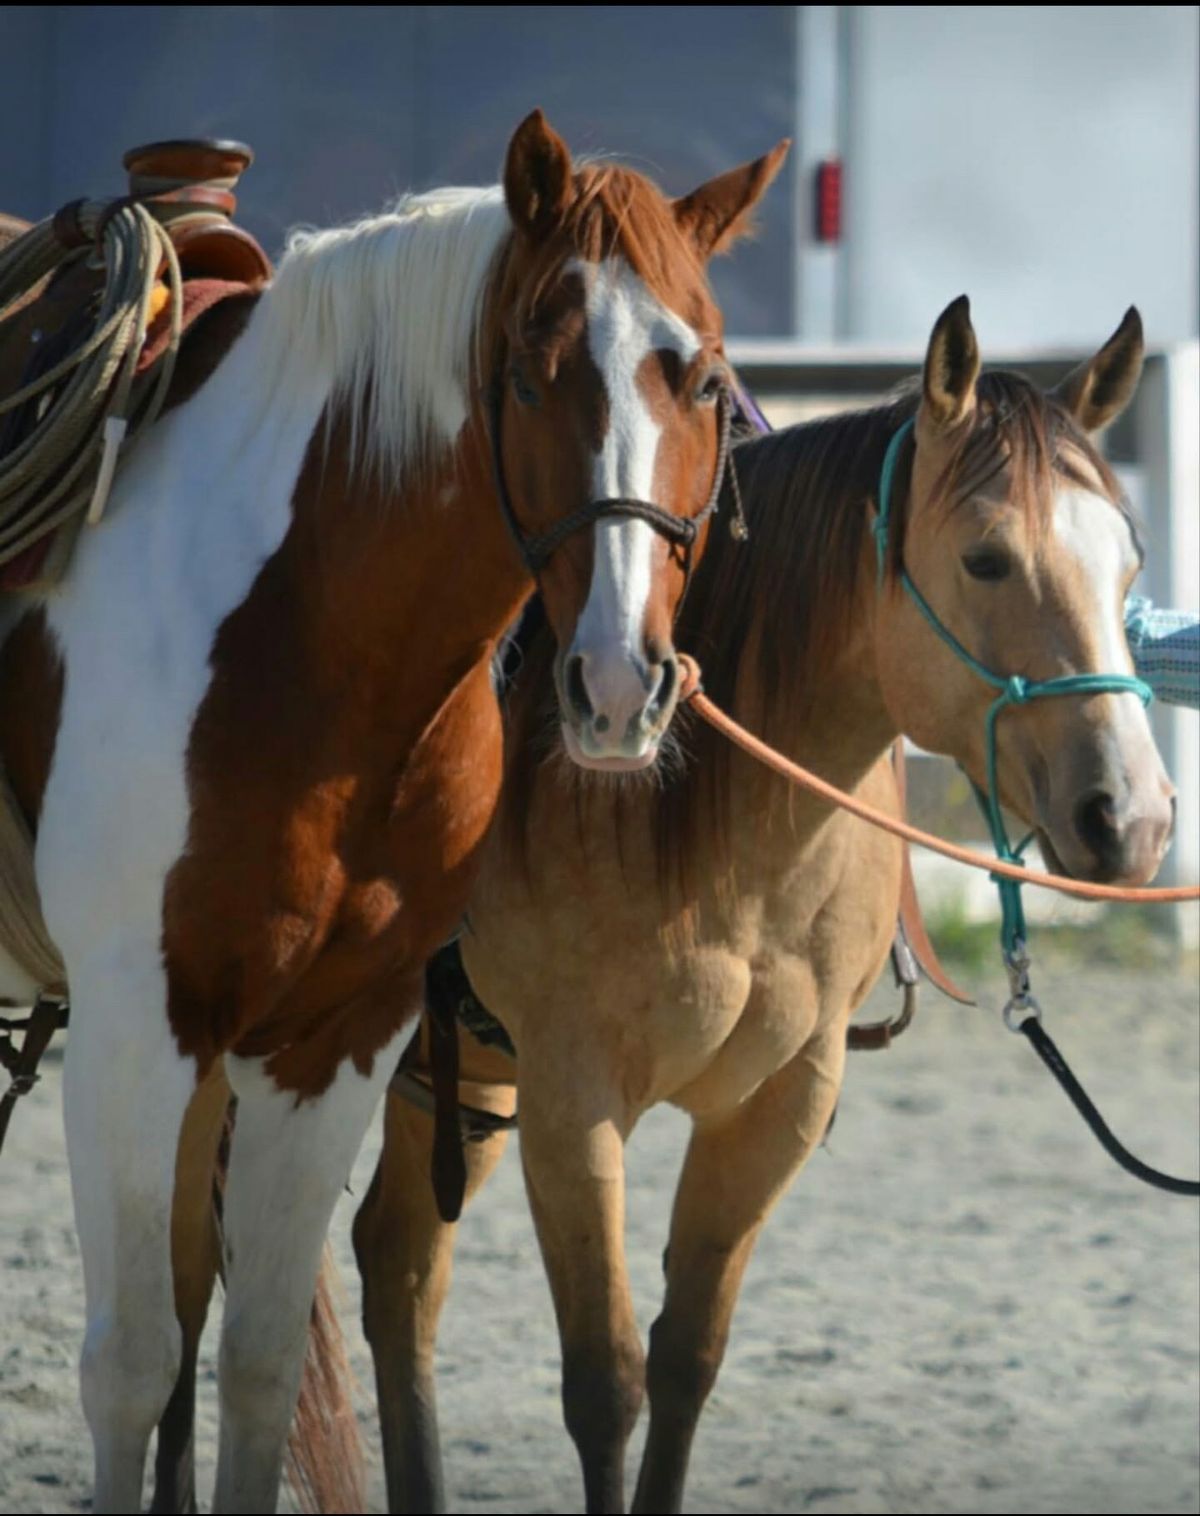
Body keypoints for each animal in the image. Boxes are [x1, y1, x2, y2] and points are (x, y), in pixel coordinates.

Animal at [0, 109, 787, 1516]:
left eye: (700, 380)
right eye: (529, 373)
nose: (617, 683)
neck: (311, 629)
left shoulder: (335, 1039)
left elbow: (255, 1359)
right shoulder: (138, 1025)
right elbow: (135, 1362)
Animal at [351, 298, 1175, 1516]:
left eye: (1128, 563)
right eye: (985, 557)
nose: (1134, 816)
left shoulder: (778, 1100)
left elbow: (688, 1358)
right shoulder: (572, 1103)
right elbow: (605, 1383)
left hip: (457, 1073)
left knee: (397, 1266)